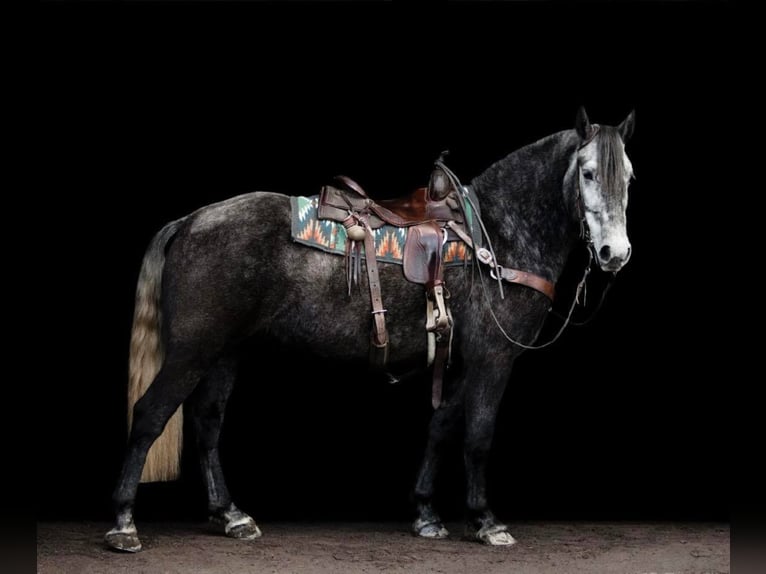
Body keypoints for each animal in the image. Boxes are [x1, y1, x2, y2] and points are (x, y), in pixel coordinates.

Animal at [106, 108, 636, 552]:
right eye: (588, 172)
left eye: (629, 177)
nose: (615, 253)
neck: (498, 234)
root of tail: (191, 220)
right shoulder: (493, 358)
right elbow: (478, 436)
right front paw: (486, 521)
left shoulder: (465, 359)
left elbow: (442, 426)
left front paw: (426, 513)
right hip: (192, 351)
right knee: (150, 415)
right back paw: (125, 524)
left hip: (224, 352)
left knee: (207, 422)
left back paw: (231, 515)